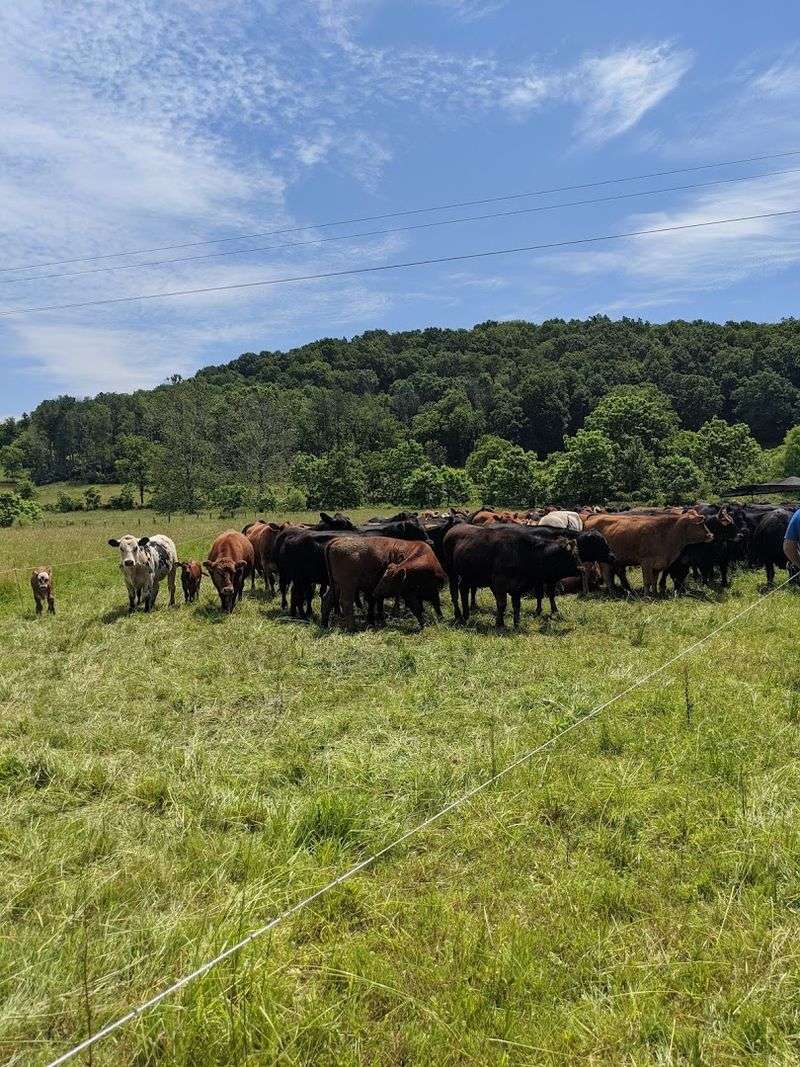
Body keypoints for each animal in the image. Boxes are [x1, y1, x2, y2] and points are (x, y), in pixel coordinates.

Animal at [443, 523, 580, 627]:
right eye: (573, 556)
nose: (581, 568)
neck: (524, 552)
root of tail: (454, 528)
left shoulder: (517, 587)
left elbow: (516, 605)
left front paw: (517, 623)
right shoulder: (499, 583)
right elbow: (502, 604)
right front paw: (500, 624)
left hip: (468, 576)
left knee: (463, 589)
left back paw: (466, 615)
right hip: (452, 573)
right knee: (454, 593)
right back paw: (458, 615)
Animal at [583, 511, 713, 596]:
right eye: (701, 524)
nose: (711, 535)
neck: (666, 534)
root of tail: (591, 518)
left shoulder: (658, 563)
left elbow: (654, 580)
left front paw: (655, 594)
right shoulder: (646, 561)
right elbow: (647, 580)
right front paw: (647, 596)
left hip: (607, 559)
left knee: (608, 575)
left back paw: (614, 592)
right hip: (590, 559)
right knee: (592, 573)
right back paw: (592, 592)